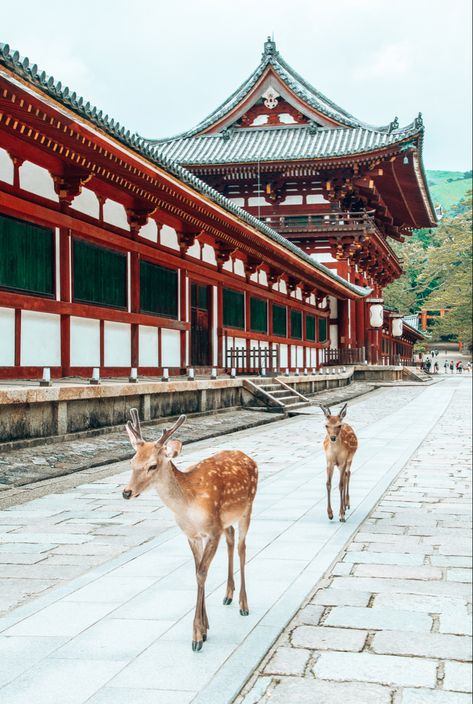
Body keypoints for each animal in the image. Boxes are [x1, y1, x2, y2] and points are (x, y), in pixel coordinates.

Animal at [120, 410, 256, 652]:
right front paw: (205, 629)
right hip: (226, 520)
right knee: (231, 540)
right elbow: (197, 571)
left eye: (152, 465)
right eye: (131, 461)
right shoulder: (192, 535)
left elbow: (202, 573)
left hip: (246, 509)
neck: (189, 504)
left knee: (242, 547)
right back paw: (228, 595)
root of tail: (250, 458)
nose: (126, 492)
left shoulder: (212, 531)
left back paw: (243, 604)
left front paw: (196, 637)